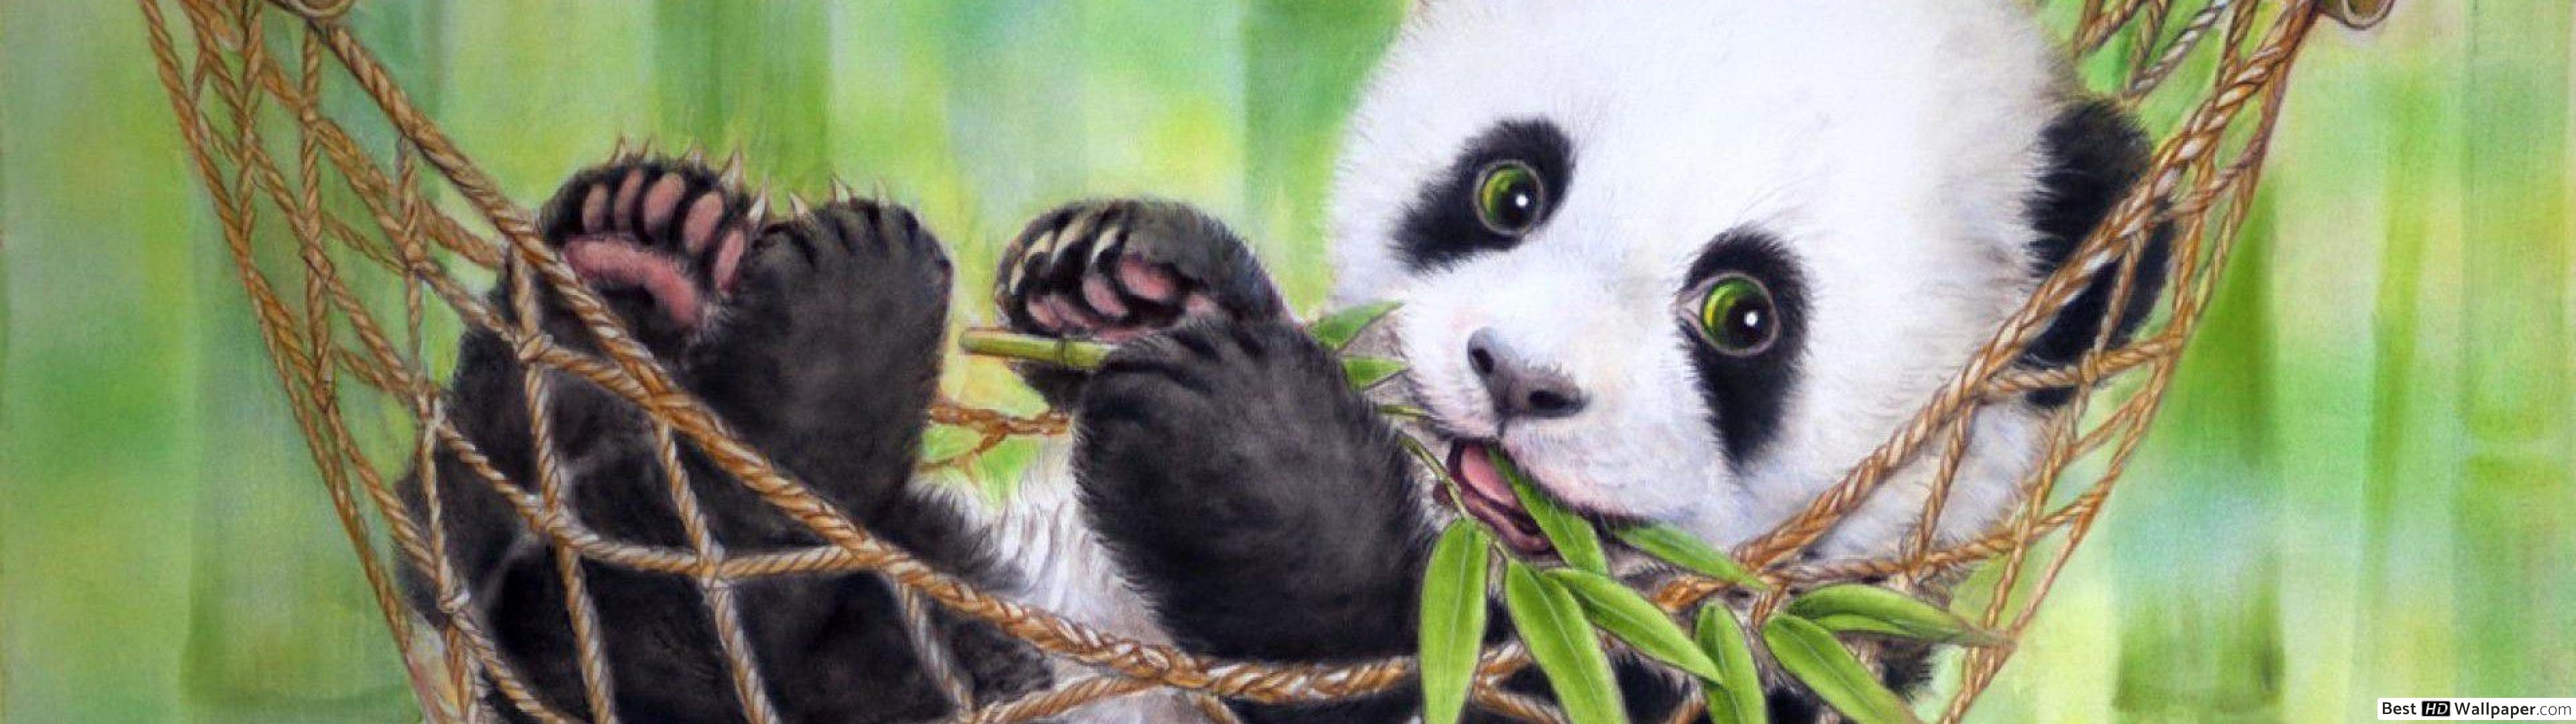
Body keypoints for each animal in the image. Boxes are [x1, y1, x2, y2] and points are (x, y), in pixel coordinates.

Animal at [402, 0, 2162, 722]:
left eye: (1742, 313)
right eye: (1508, 190)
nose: (1513, 379)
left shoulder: (1761, 676)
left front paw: (1243, 452)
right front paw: (1125, 275)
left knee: (658, 637)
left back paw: (806, 361)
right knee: (496, 566)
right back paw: (632, 270)